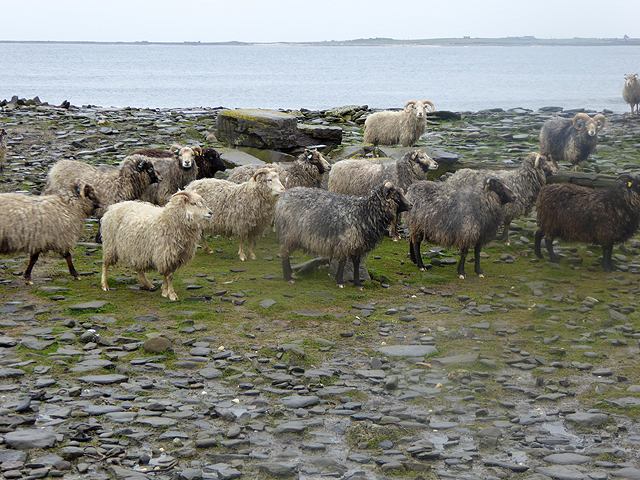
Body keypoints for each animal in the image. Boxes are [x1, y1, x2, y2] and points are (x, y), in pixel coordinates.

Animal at [274, 181, 411, 289]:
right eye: (396, 196)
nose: (411, 205)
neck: (363, 212)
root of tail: (283, 198)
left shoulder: (358, 245)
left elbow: (356, 264)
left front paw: (358, 283)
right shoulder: (345, 242)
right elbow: (343, 262)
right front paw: (340, 281)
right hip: (290, 233)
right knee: (284, 254)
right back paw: (288, 277)